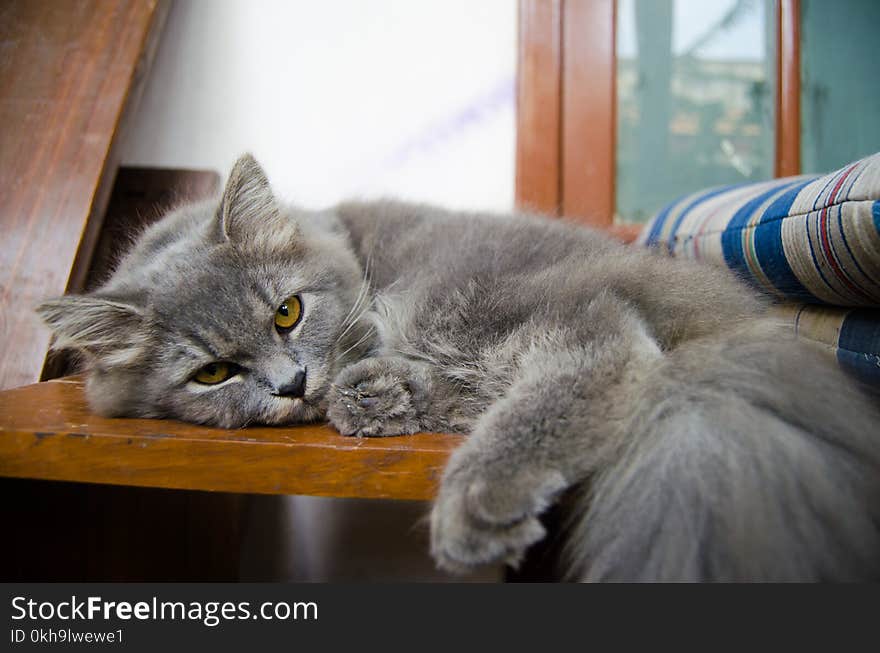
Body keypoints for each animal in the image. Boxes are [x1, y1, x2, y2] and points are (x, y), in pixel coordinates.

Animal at [37, 154, 880, 580]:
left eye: (287, 312)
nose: (290, 384)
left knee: (597, 355)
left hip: (473, 300)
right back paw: (380, 398)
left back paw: (470, 493)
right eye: (212, 373)